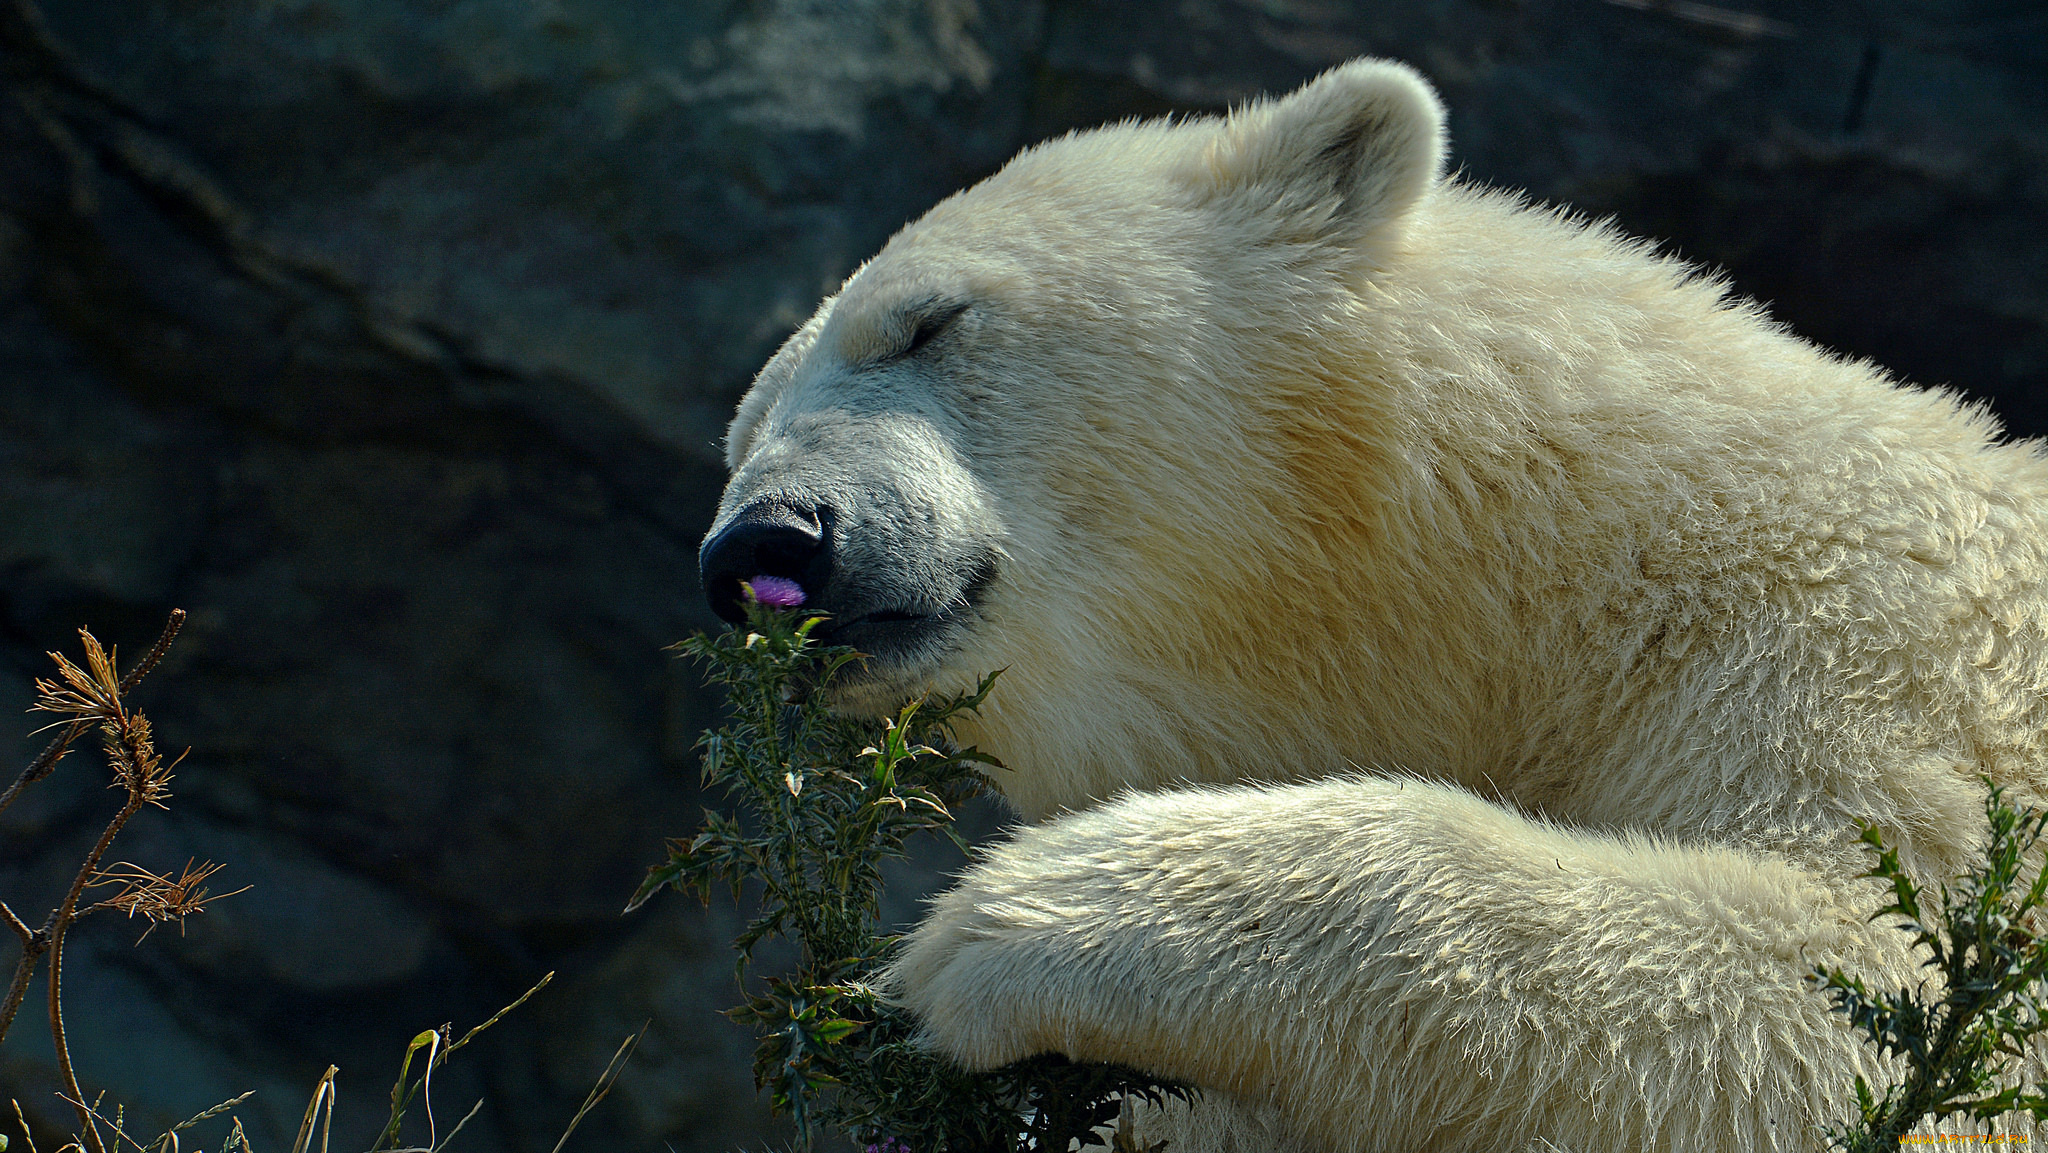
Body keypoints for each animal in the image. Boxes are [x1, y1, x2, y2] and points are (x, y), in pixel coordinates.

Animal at [696, 58, 2048, 1146]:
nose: (766, 542)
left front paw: (1009, 922)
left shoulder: (1871, 637)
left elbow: (1851, 995)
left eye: (929, 321)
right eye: (742, 433)